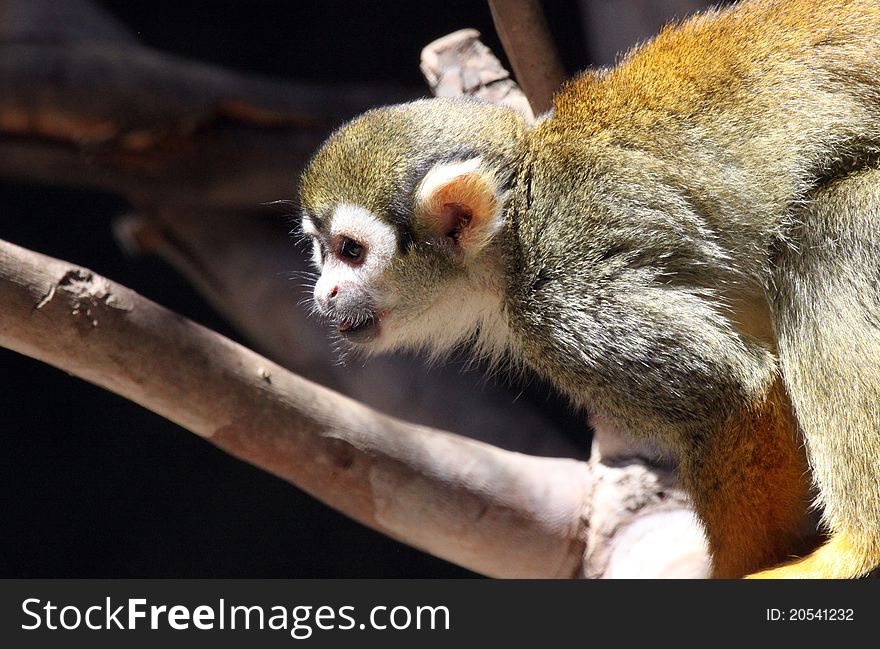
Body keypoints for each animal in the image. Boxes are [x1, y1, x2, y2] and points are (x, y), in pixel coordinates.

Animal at [300, 0, 880, 576]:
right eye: (322, 250)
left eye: (352, 251)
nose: (325, 293)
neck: (517, 230)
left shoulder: (566, 304)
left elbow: (731, 394)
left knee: (827, 229)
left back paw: (855, 548)